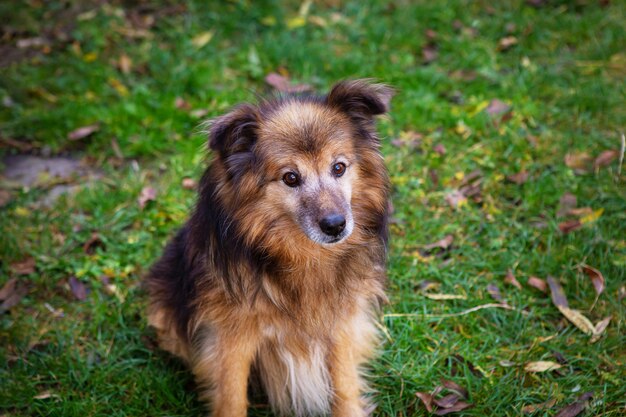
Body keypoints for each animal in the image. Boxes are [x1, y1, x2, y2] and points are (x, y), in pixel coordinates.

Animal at [144, 79, 392, 416]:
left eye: (339, 167)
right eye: (291, 177)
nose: (335, 225)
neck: (301, 256)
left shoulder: (342, 324)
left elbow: (344, 385)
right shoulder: (231, 338)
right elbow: (231, 397)